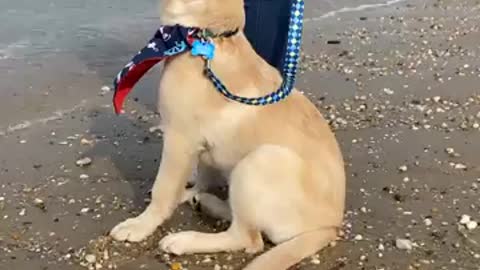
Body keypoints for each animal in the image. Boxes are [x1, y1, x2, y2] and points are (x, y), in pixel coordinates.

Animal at [112, 1, 344, 268]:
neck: (204, 35)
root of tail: (329, 227)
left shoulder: (178, 138)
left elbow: (163, 189)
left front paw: (140, 225)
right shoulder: (198, 145)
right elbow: (200, 175)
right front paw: (189, 191)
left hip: (260, 162)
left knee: (248, 238)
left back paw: (185, 239)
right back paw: (207, 202)